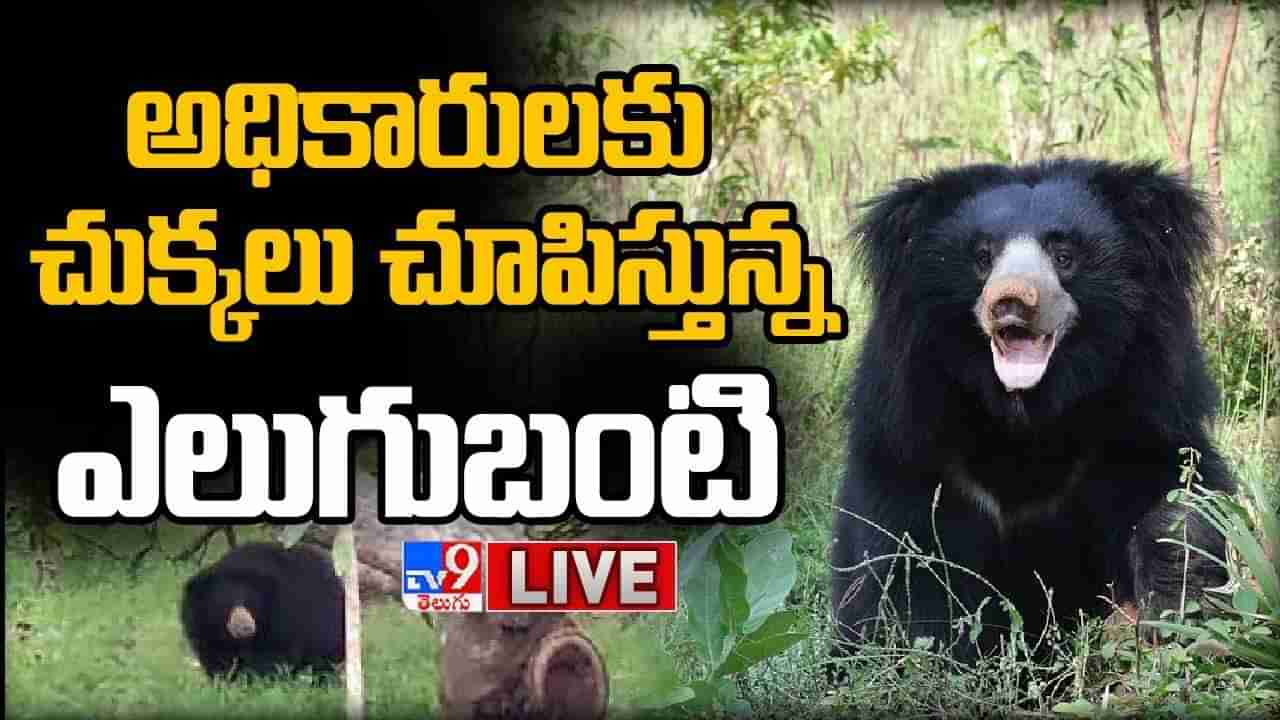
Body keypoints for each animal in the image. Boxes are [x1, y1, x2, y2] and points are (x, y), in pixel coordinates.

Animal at [181, 542, 345, 680]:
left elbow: (275, 653)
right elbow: (215, 653)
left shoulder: (285, 612)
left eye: (249, 602)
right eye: (224, 605)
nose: (245, 627)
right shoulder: (201, 624)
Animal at [830, 159, 1234, 665]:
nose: (1011, 301)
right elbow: (904, 568)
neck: (1027, 415)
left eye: (1063, 255)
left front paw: (1173, 590)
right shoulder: (911, 442)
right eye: (983, 256)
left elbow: (1178, 493)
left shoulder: (1143, 412)